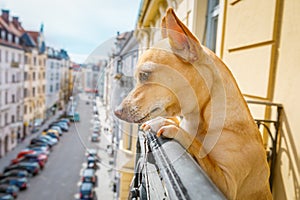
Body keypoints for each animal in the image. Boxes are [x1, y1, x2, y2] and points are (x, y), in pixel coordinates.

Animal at [114, 8, 272, 200]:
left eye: (144, 75)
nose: (116, 111)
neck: (199, 118)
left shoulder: (226, 184)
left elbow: (198, 148)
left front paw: (172, 127)